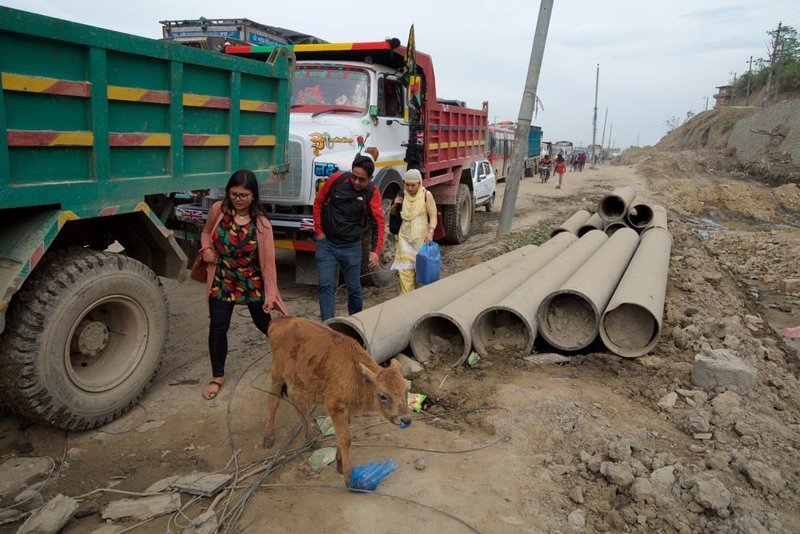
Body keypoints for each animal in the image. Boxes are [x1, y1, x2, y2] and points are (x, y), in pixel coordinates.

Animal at [266, 316, 410, 488]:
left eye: (405, 390)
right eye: (383, 396)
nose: (405, 419)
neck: (357, 375)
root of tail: (279, 320)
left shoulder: (348, 410)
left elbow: (344, 435)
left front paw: (340, 463)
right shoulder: (335, 406)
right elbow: (345, 437)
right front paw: (348, 477)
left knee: (299, 403)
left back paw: (312, 438)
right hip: (277, 374)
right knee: (273, 401)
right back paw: (269, 437)